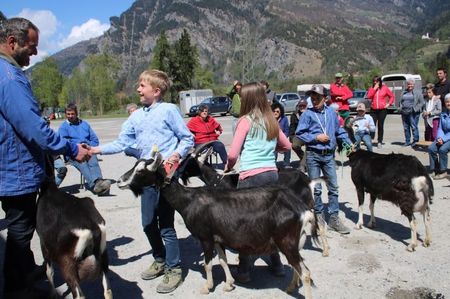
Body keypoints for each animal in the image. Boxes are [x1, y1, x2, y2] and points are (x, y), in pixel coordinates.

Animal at [118, 154, 318, 298]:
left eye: (141, 171)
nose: (120, 181)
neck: (188, 200)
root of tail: (301, 209)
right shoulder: (218, 238)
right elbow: (222, 260)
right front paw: (229, 284)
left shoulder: (205, 238)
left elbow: (208, 265)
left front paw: (207, 287)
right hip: (293, 243)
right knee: (297, 266)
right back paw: (290, 288)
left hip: (286, 241)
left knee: (306, 273)